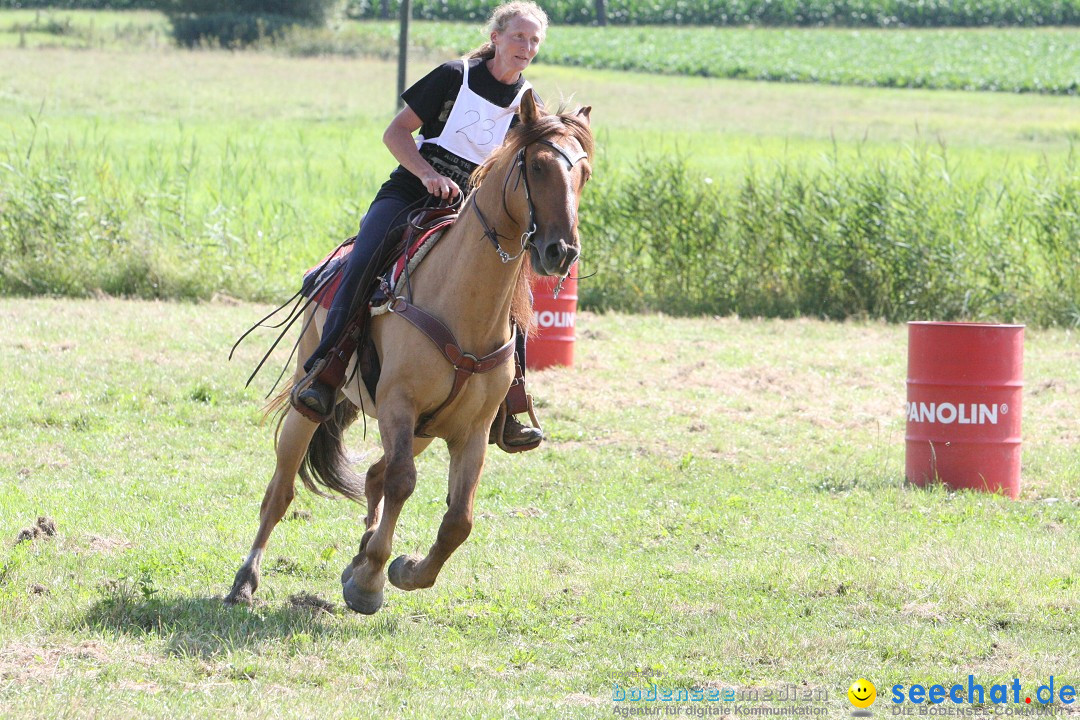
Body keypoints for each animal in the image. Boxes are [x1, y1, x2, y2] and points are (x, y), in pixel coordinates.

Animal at [221, 91, 591, 613]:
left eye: (585, 174)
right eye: (537, 166)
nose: (561, 252)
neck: (463, 305)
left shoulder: (471, 431)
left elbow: (459, 519)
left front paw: (398, 569)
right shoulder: (399, 405)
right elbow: (403, 483)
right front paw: (370, 580)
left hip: (423, 431)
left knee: (374, 475)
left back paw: (357, 555)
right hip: (311, 401)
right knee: (282, 491)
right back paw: (246, 581)